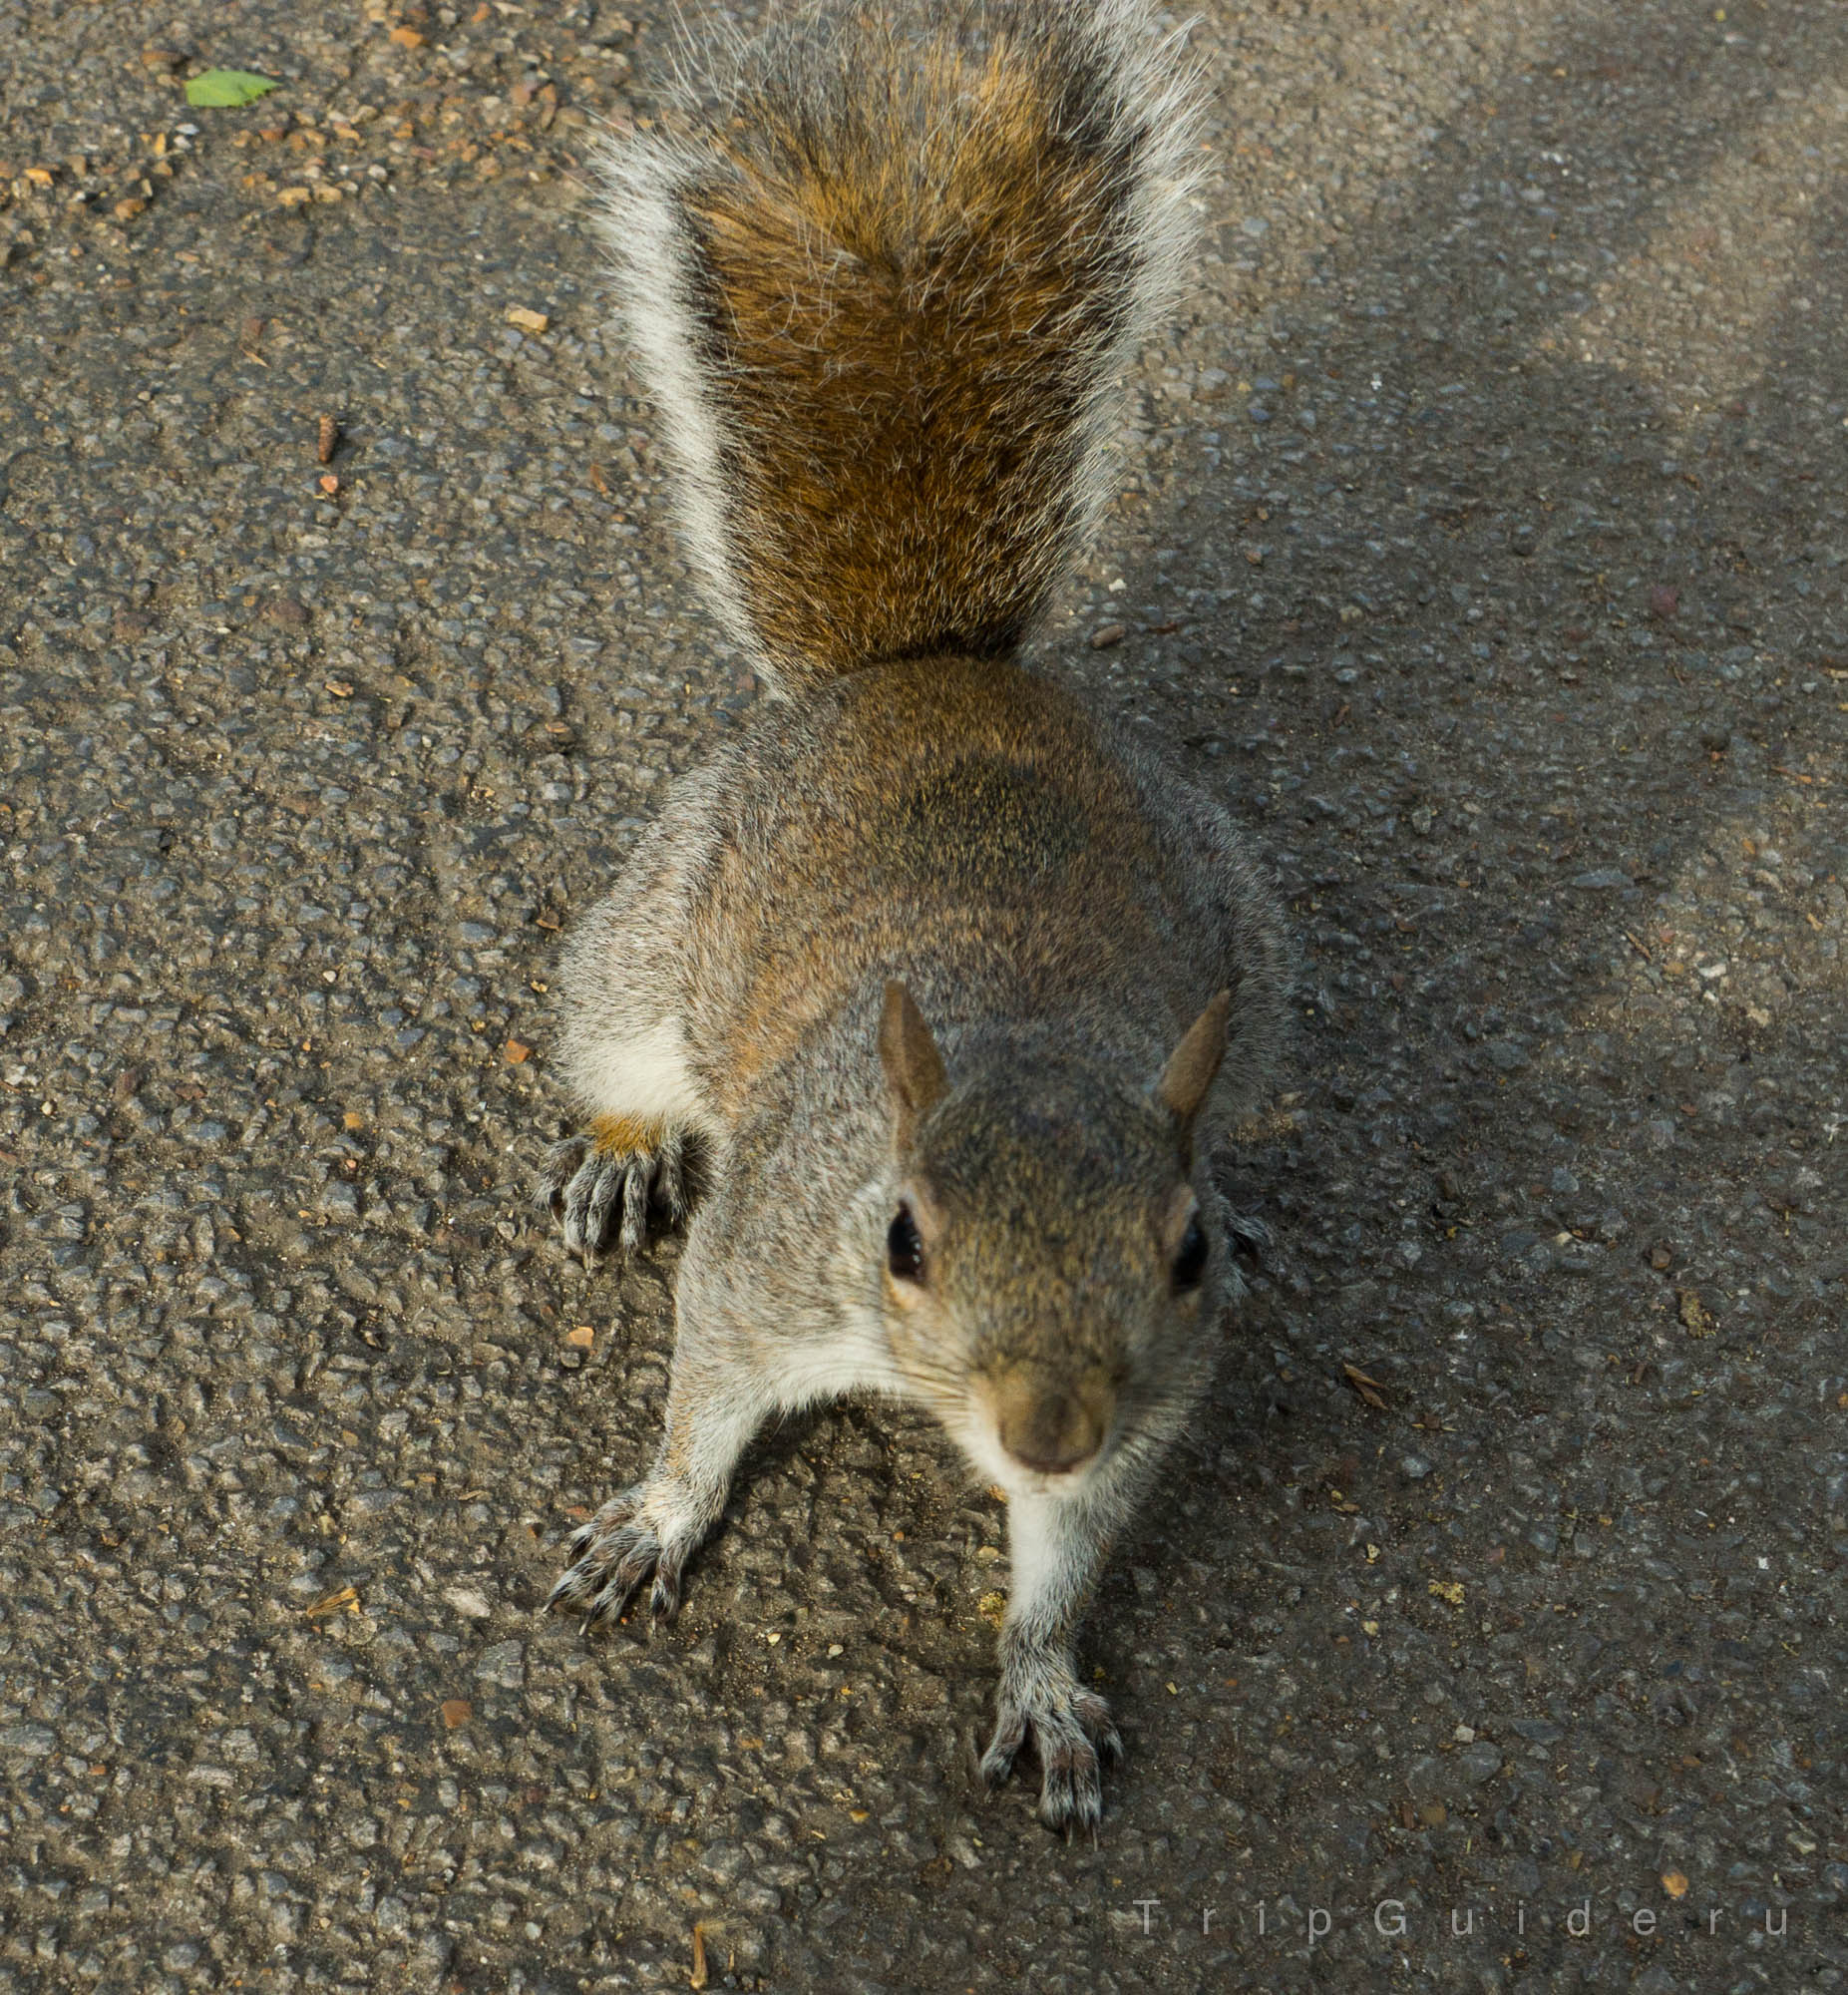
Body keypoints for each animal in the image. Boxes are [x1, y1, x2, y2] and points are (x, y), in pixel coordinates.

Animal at [535, 0, 1291, 1831]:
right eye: (901, 1237)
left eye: (1167, 1254)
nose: (1044, 1427)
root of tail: (925, 674)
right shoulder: (760, 1265)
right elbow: (700, 1407)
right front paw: (652, 1522)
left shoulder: (1149, 1398)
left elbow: (1071, 1552)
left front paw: (1042, 1677)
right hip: (654, 931)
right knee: (614, 1042)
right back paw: (617, 1153)